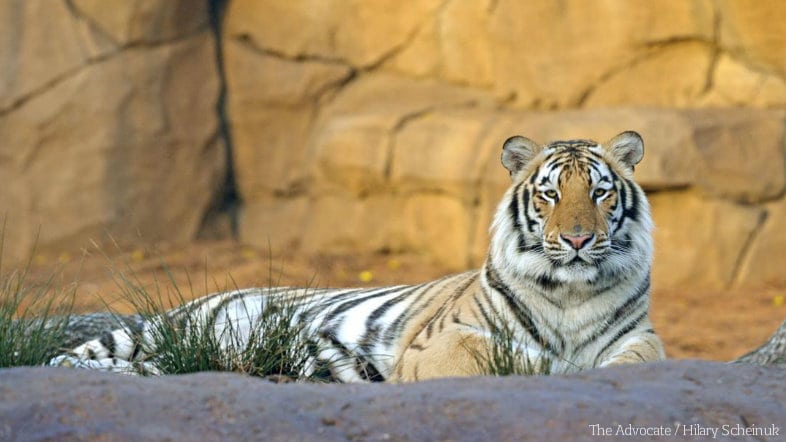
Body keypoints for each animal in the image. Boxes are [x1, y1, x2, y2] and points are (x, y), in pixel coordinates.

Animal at [49, 130, 660, 380]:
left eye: (599, 193)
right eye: (551, 194)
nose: (577, 240)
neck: (571, 294)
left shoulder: (639, 338)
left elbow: (636, 361)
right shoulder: (444, 339)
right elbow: (495, 357)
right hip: (164, 327)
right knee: (66, 359)